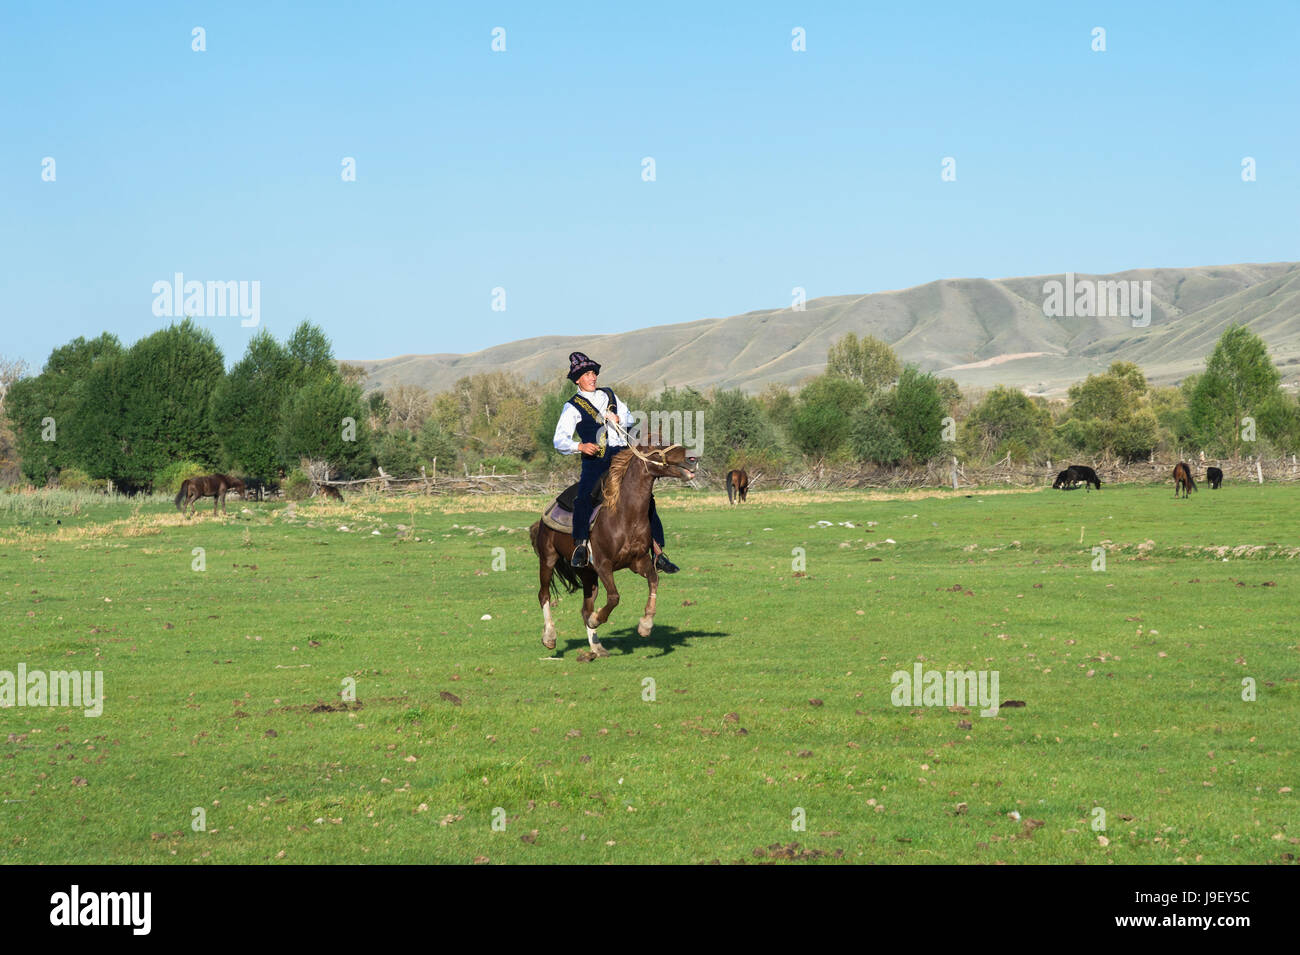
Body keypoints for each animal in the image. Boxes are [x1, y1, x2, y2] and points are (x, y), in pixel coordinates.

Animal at [527, 446, 696, 657]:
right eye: (656, 446)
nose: (692, 459)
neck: (625, 516)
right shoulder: (603, 565)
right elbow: (614, 597)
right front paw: (597, 619)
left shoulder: (638, 561)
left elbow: (654, 581)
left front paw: (645, 625)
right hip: (548, 559)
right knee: (544, 595)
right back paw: (550, 637)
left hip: (587, 573)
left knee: (585, 607)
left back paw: (597, 647)